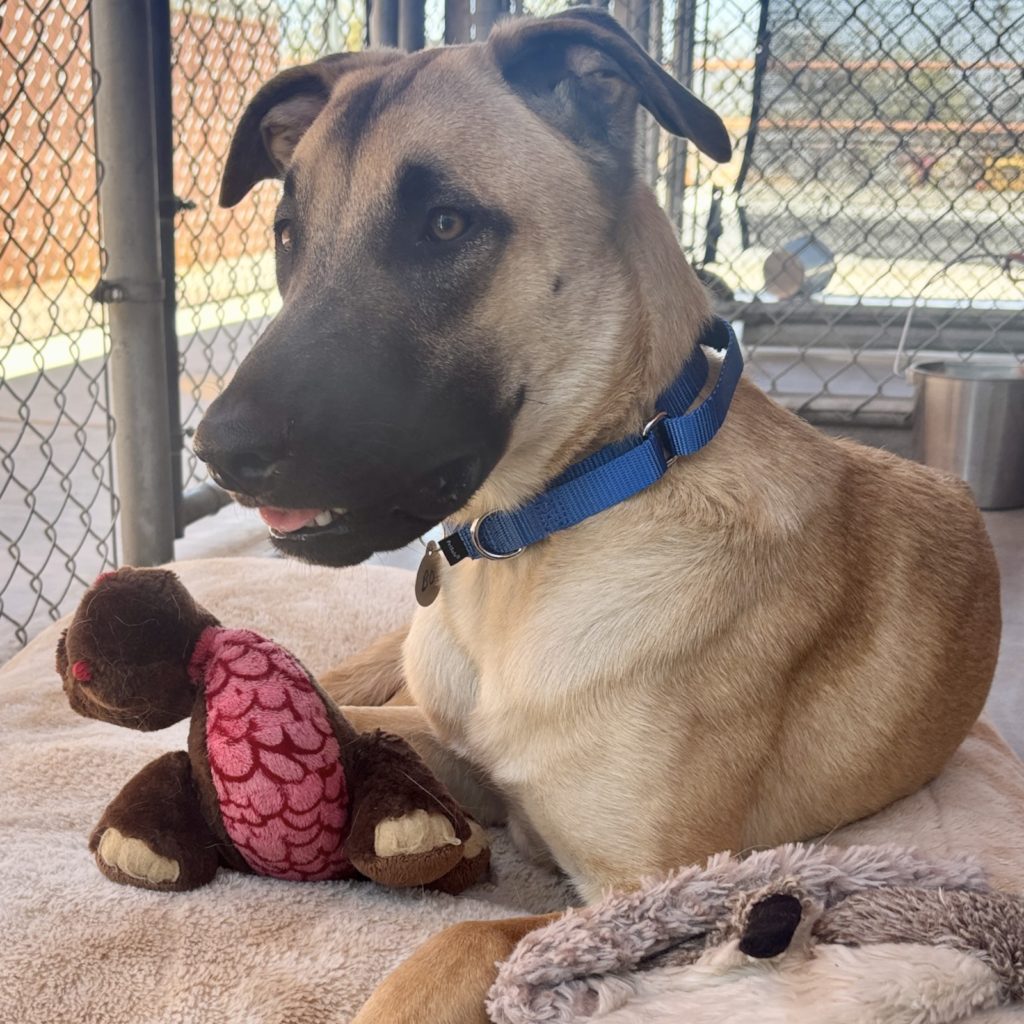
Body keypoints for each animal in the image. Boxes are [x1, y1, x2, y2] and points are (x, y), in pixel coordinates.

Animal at [193, 9, 1001, 1021]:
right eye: (288, 235)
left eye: (445, 224)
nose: (216, 450)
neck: (542, 534)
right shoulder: (448, 741)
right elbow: (366, 725)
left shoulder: (658, 893)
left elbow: (459, 942)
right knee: (345, 673)